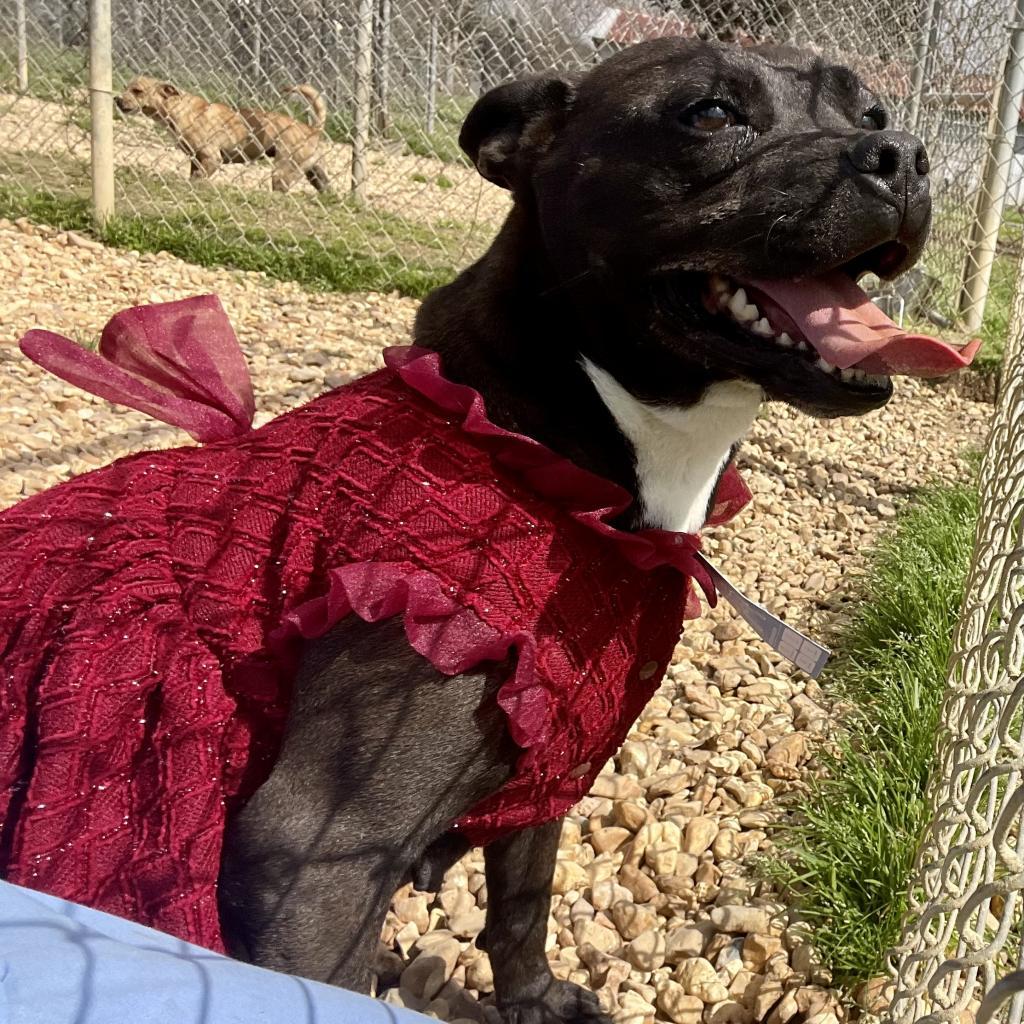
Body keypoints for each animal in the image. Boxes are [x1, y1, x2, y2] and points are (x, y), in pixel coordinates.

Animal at [117, 75, 329, 192]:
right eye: (125, 87)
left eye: (137, 91)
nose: (117, 99)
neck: (178, 108)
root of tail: (313, 129)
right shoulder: (196, 159)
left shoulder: (211, 158)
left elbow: (198, 179)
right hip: (314, 173)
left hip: (282, 171)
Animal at [222, 37, 937, 1024]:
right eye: (711, 113)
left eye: (870, 115)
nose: (904, 155)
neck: (544, 447)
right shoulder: (315, 856)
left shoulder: (548, 772)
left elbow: (523, 904)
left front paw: (534, 1000)